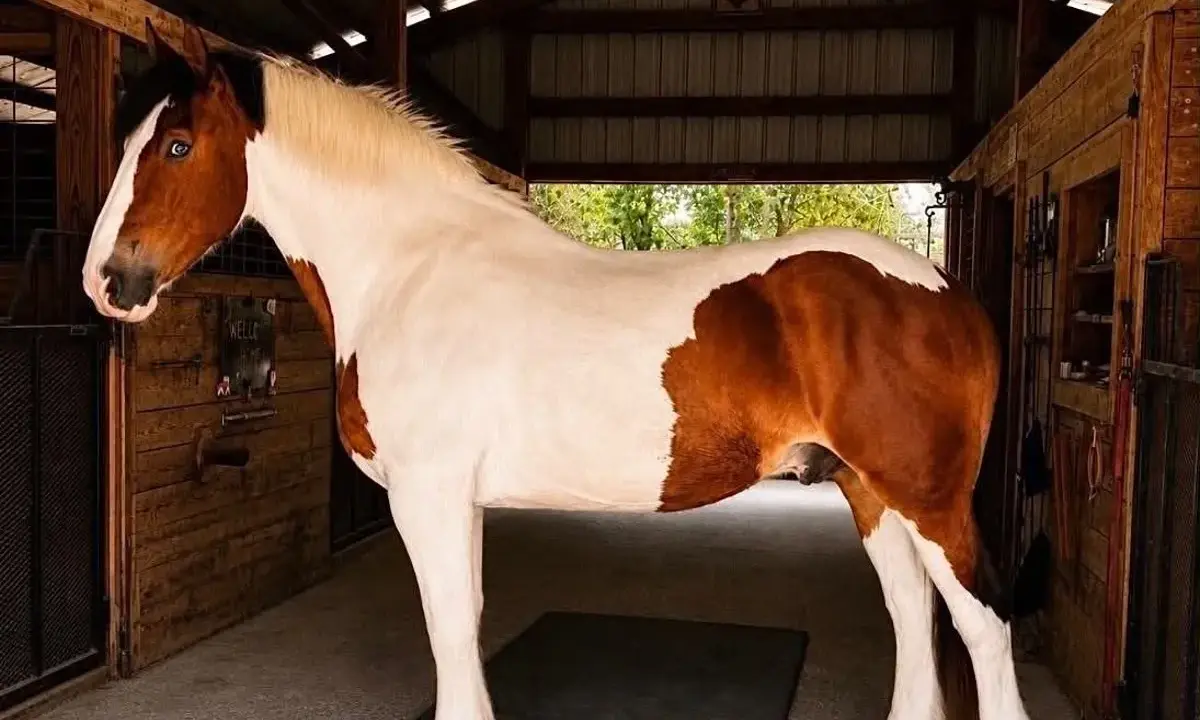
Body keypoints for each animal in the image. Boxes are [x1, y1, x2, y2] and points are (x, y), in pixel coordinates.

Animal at [82, 21, 1031, 720]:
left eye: (175, 146)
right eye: (129, 141)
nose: (106, 282)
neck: (409, 267)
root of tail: (945, 289)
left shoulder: (425, 493)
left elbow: (447, 631)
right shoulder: (457, 499)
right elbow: (465, 624)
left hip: (930, 502)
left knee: (983, 627)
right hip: (872, 492)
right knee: (913, 619)